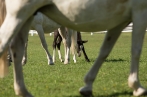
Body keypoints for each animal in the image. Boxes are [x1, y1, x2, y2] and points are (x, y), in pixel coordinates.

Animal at [0, 0, 147, 97]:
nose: (8, 61)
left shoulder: (38, 26)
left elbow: (43, 44)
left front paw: (50, 61)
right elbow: (23, 45)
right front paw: (23, 61)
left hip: (66, 27)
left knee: (68, 43)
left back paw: (68, 60)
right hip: (60, 27)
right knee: (65, 43)